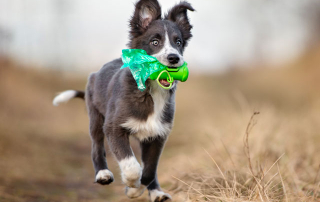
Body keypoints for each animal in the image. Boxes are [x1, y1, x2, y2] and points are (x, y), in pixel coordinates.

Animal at [52, 0, 194, 201]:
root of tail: (95, 73)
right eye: (155, 42)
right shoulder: (114, 127)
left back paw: (157, 193)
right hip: (96, 118)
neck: (150, 91)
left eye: (178, 42)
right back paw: (103, 174)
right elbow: (132, 166)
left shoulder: (158, 134)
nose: (174, 58)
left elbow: (149, 170)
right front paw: (132, 186)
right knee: (97, 147)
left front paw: (139, 188)